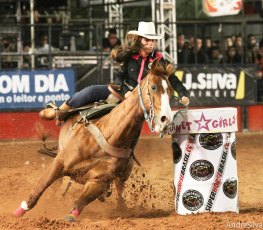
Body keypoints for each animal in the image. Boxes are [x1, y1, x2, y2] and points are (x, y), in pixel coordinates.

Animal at [13, 58, 175, 222]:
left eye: (170, 92)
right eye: (153, 87)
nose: (166, 119)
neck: (109, 135)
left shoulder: (98, 181)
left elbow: (79, 203)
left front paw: (71, 215)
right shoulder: (60, 162)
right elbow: (39, 189)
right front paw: (18, 213)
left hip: (123, 174)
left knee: (119, 193)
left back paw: (121, 208)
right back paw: (49, 112)